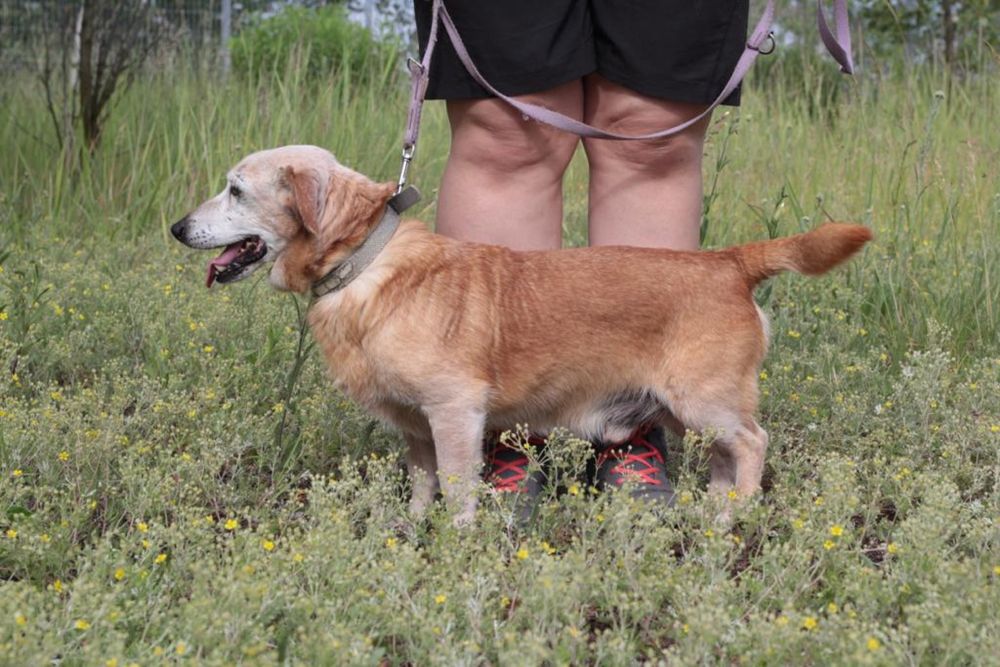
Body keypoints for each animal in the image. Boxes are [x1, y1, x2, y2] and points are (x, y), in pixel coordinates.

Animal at [176, 144, 872, 524]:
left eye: (235, 190)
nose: (177, 228)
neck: (366, 264)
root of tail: (729, 261)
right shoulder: (417, 429)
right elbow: (424, 485)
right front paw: (411, 532)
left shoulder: (455, 413)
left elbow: (459, 490)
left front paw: (455, 543)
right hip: (693, 413)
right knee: (729, 459)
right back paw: (716, 510)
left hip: (705, 401)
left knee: (754, 444)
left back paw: (737, 517)